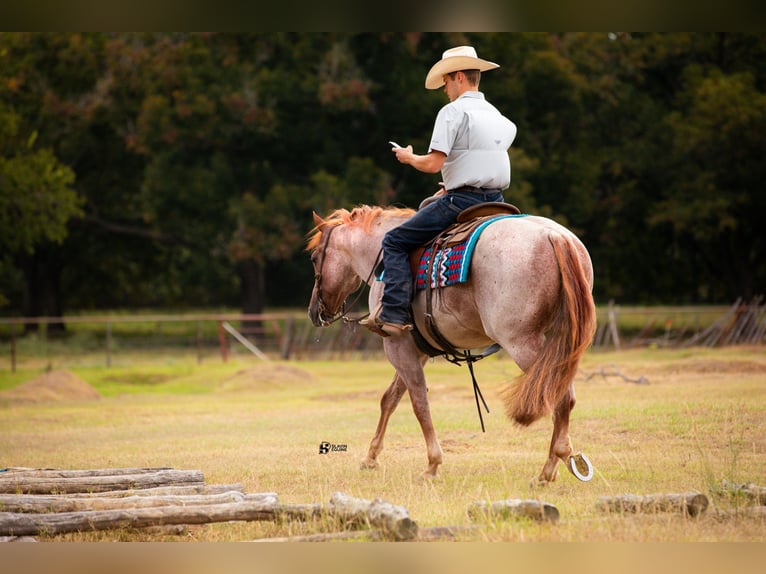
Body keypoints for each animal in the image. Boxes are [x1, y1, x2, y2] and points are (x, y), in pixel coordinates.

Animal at [308, 207, 596, 486]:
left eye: (314, 258)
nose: (314, 312)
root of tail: (555, 237)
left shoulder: (398, 347)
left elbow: (419, 404)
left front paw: (432, 465)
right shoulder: (416, 350)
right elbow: (390, 399)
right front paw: (370, 458)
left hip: (523, 344)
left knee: (556, 397)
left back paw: (549, 468)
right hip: (558, 344)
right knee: (563, 398)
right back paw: (556, 465)